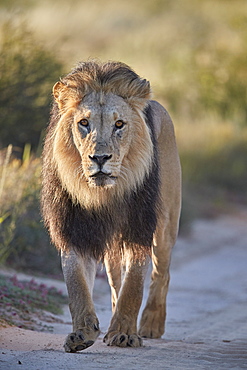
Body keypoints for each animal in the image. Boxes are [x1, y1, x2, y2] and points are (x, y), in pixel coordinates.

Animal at [41, 59, 181, 352]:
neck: (102, 195)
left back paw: (151, 324)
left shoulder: (139, 226)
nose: (100, 158)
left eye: (119, 124)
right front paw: (82, 333)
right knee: (116, 281)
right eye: (83, 123)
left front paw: (126, 334)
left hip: (166, 225)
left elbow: (135, 283)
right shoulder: (74, 230)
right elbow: (77, 285)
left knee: (162, 273)